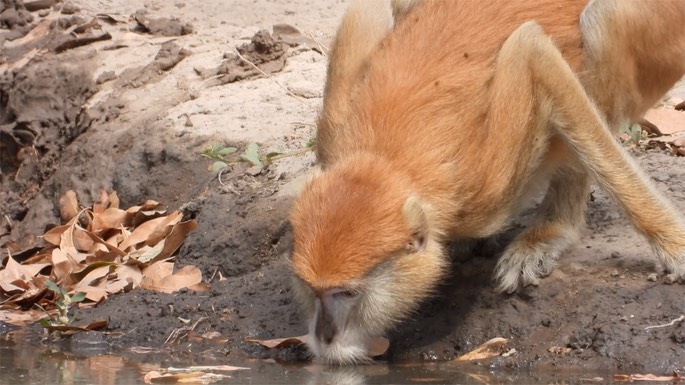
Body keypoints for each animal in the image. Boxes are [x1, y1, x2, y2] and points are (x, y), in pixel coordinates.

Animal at [288, 0, 684, 364]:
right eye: (312, 290)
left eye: (347, 293)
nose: (324, 336)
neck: (388, 162)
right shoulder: (334, 135)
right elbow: (363, 11)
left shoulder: (487, 186)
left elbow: (532, 51)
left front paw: (673, 244)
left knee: (602, 21)